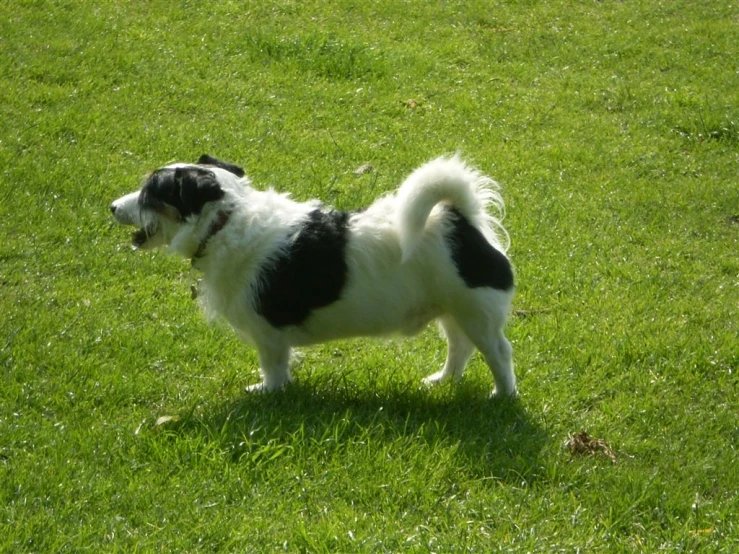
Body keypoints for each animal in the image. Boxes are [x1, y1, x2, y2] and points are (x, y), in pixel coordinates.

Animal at [110, 155, 516, 394]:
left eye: (151, 194)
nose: (112, 206)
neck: (225, 222)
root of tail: (460, 217)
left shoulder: (268, 333)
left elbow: (273, 368)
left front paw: (267, 392)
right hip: (453, 310)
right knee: (459, 347)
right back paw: (442, 381)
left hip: (476, 312)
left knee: (498, 352)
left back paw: (503, 394)